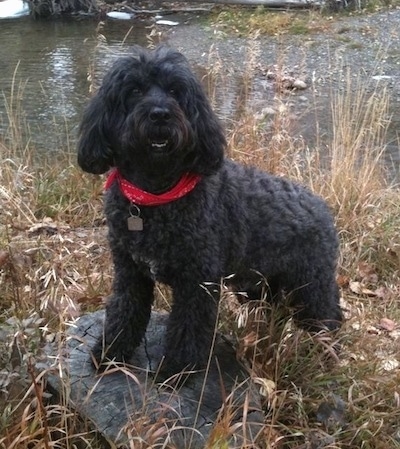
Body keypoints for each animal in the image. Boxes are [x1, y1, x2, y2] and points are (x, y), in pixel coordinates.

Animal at [78, 45, 344, 374]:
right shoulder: (131, 274)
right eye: (134, 90)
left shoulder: (197, 284)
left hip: (310, 286)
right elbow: (123, 315)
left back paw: (328, 357)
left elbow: (186, 331)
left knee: (329, 317)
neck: (156, 194)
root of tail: (322, 206)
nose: (160, 114)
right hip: (260, 285)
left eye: (175, 91)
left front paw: (176, 372)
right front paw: (109, 355)